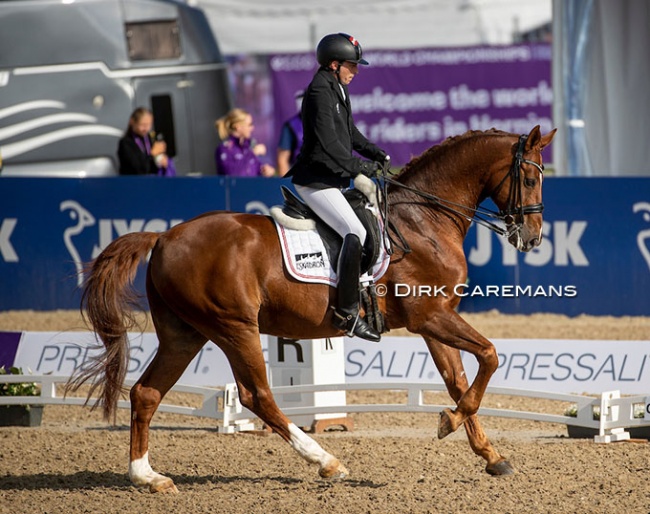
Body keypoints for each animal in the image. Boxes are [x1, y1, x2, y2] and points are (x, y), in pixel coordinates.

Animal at [73, 125, 556, 492]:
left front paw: (488, 453)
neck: (424, 220)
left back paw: (147, 477)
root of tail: (162, 237)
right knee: (257, 396)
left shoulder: (432, 321)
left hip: (185, 333)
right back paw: (327, 461)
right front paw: (450, 423)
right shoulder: (432, 316)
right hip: (234, 327)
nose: (533, 238)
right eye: (531, 179)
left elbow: (458, 381)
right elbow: (489, 356)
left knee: (147, 392)